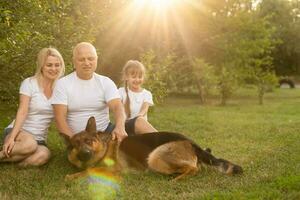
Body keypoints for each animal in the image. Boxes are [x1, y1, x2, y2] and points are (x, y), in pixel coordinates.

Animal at [64, 116, 243, 180]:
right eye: (75, 145)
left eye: (88, 141)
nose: (85, 153)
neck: (104, 146)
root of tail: (191, 143)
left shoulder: (112, 169)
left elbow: (89, 170)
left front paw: (72, 176)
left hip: (155, 157)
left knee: (193, 169)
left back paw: (176, 179)